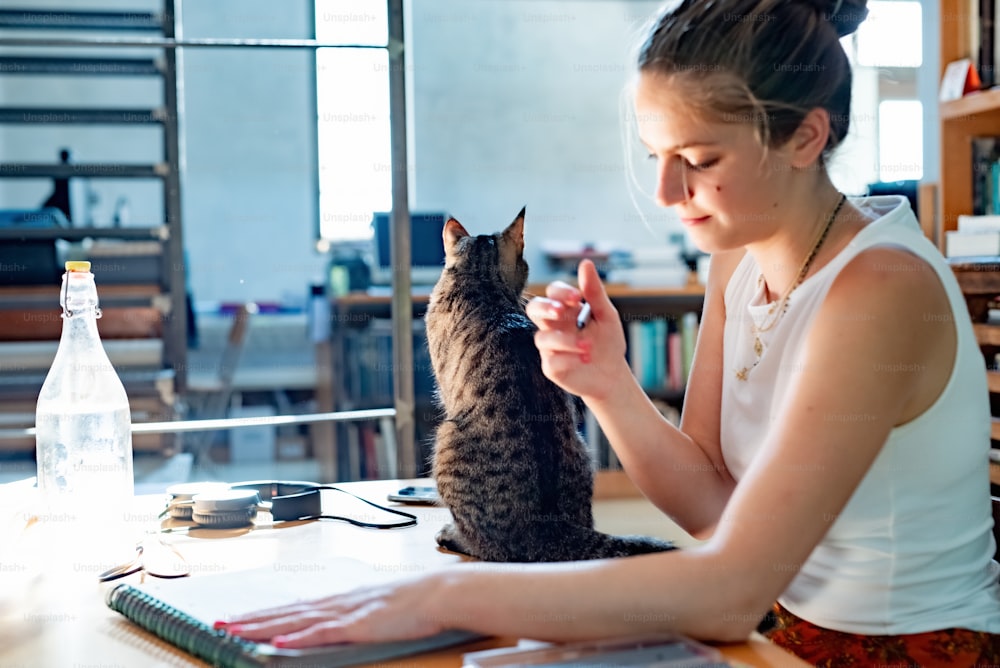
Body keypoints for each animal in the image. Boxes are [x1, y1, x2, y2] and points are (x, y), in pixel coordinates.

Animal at [426, 206, 676, 560]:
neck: (483, 282)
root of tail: (548, 529)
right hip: (582, 450)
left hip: (445, 437)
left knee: (485, 547)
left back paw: (451, 535)